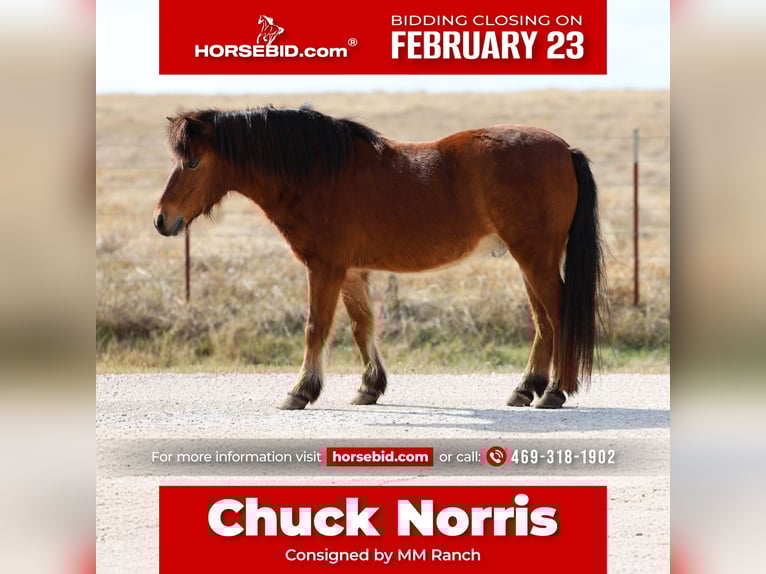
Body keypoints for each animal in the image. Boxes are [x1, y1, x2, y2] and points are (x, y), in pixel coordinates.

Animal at [154, 106, 605, 410]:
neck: (319, 173)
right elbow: (362, 326)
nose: (161, 219)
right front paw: (369, 387)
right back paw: (526, 388)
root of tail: (565, 150)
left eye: (192, 162)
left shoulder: (325, 267)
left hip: (535, 257)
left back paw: (554, 391)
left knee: (558, 315)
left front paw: (300, 391)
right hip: (528, 259)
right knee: (543, 322)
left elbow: (316, 327)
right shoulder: (352, 272)